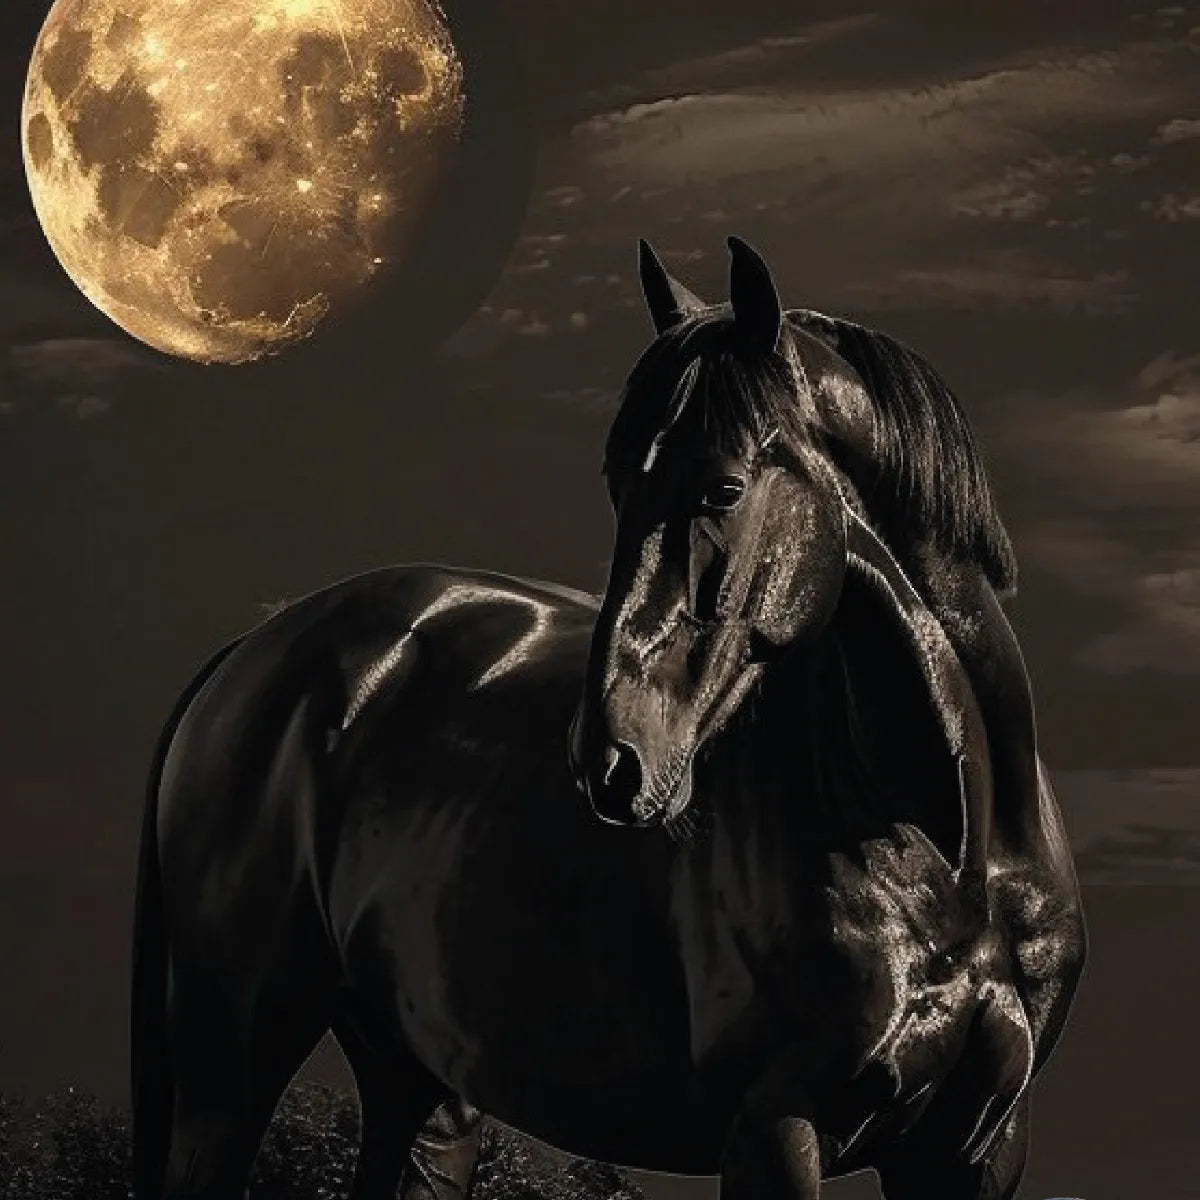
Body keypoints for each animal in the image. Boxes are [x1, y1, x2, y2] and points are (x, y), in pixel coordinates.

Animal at [131, 237, 1085, 1200]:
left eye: (724, 489)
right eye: (620, 481)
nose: (611, 761)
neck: (947, 848)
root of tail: (252, 651)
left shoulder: (976, 1149)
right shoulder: (777, 1128)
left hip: (423, 1097)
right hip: (230, 1071)